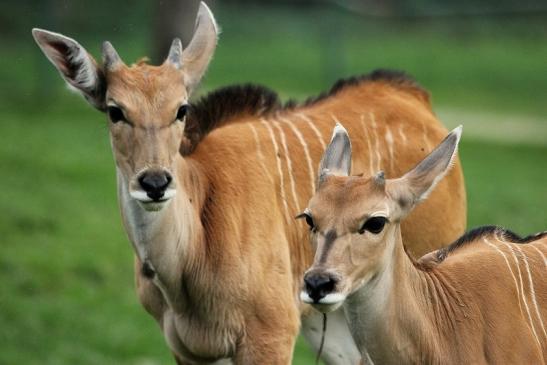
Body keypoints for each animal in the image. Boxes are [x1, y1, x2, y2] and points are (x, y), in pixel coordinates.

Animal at [32, 2, 466, 362]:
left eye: (182, 109)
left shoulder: (270, 334)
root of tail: (416, 99)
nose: (154, 182)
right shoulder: (189, 350)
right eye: (115, 111)